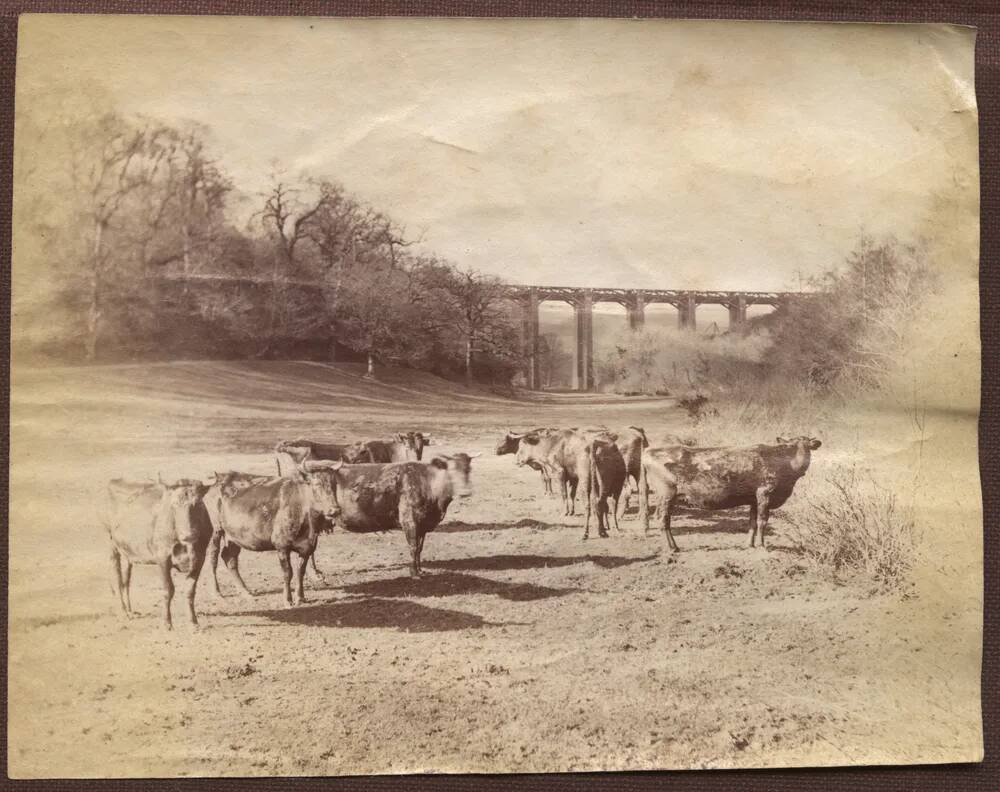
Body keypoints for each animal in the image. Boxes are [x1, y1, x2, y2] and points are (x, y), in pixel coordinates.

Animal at [101, 476, 213, 632]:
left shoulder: (199, 559)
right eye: (173, 505)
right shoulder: (162, 558)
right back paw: (123, 612)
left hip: (128, 550)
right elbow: (168, 590)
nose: (188, 535)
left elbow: (190, 591)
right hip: (111, 542)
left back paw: (130, 610)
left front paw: (193, 623)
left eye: (198, 503)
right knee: (117, 576)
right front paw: (167, 623)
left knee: (126, 578)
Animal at [203, 464, 344, 608]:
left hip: (234, 536)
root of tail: (217, 481)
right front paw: (287, 600)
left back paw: (245, 592)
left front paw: (300, 598)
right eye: (316, 484)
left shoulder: (307, 548)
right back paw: (217, 593)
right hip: (215, 532)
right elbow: (288, 572)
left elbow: (300, 572)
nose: (335, 510)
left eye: (334, 484)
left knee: (229, 558)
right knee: (213, 559)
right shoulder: (282, 545)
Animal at [302, 454, 478, 580]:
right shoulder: (410, 521)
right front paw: (414, 573)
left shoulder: (422, 525)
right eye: (451, 471)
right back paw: (314, 573)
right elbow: (413, 547)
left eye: (468, 470)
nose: (465, 492)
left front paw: (420, 569)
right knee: (311, 548)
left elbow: (419, 548)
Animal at [640, 434, 820, 552]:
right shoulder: (765, 494)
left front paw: (749, 544)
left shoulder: (753, 498)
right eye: (791, 446)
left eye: (808, 446)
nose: (802, 461)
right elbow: (762, 521)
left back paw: (674, 547)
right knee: (663, 519)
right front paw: (762, 546)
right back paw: (671, 548)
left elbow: (752, 522)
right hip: (666, 494)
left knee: (666, 520)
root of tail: (648, 451)